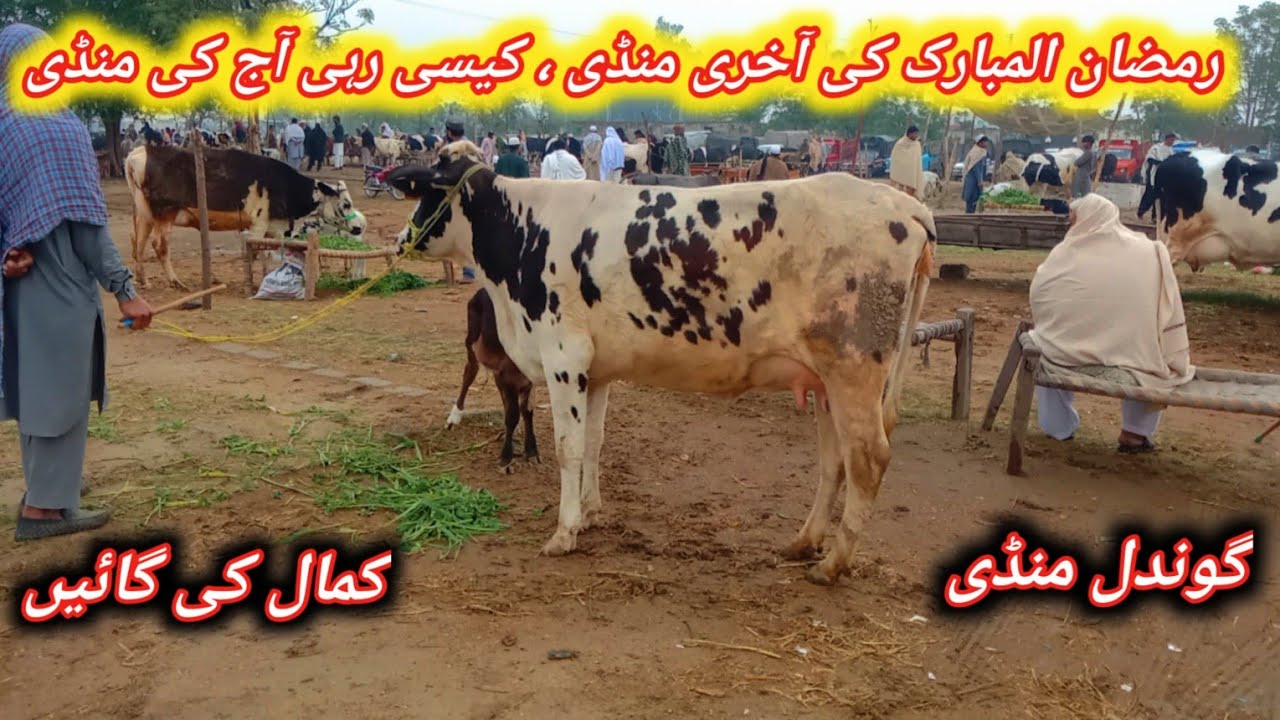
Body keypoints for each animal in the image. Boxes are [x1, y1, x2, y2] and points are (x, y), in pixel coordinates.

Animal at [125, 144, 364, 289]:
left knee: (138, 243)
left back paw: (143, 280)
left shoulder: (275, 228)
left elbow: (272, 252)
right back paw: (175, 282)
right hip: (165, 214)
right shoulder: (258, 225)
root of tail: (140, 152)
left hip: (145, 216)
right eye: (346, 203)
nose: (359, 226)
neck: (285, 185)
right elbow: (257, 252)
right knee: (158, 245)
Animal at [446, 288, 539, 473]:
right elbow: (513, 415)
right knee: (469, 373)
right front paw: (506, 458)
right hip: (472, 341)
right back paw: (455, 415)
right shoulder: (508, 374)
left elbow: (527, 411)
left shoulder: (525, 378)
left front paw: (531, 450)